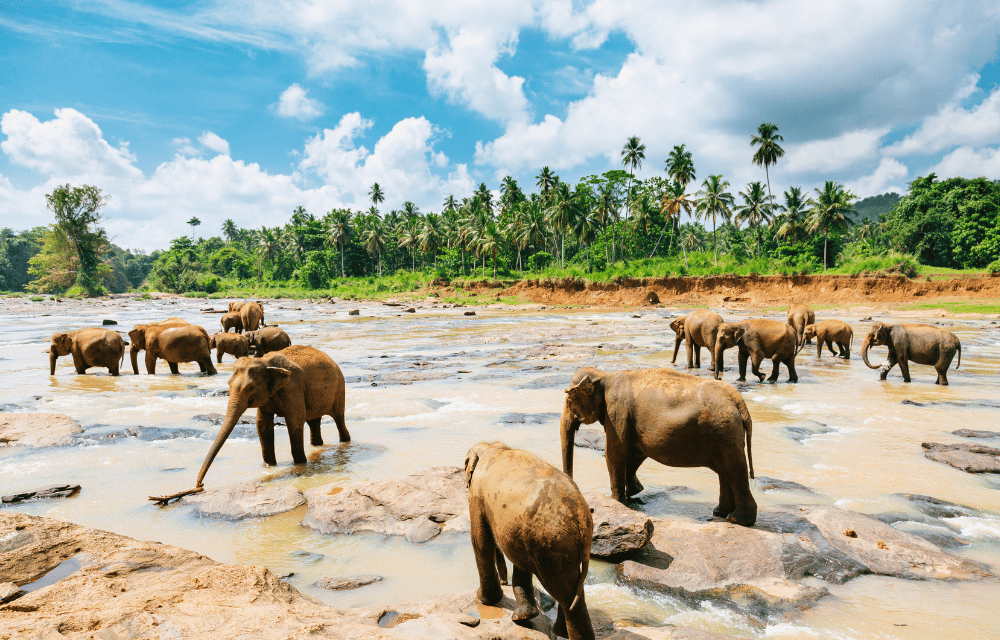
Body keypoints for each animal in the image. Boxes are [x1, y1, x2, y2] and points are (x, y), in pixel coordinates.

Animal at [194, 344, 348, 484]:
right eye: (228, 384)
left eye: (250, 388)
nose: (200, 485)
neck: (266, 362)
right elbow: (262, 425)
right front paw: (270, 466)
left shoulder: (293, 387)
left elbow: (294, 421)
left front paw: (300, 463)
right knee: (313, 421)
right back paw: (317, 445)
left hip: (340, 388)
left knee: (338, 418)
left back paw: (345, 441)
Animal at [466, 442, 596, 640]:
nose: (504, 582)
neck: (493, 446)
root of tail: (581, 516)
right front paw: (525, 617)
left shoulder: (477, 495)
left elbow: (480, 540)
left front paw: (484, 599)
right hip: (547, 541)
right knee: (574, 591)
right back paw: (557, 630)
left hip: (550, 543)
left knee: (566, 596)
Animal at [560, 368, 752, 528]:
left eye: (569, 400)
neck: (604, 375)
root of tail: (739, 402)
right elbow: (636, 452)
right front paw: (634, 491)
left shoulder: (617, 413)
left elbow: (614, 453)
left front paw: (617, 501)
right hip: (723, 434)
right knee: (725, 472)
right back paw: (720, 513)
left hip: (724, 431)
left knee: (734, 471)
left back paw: (737, 520)